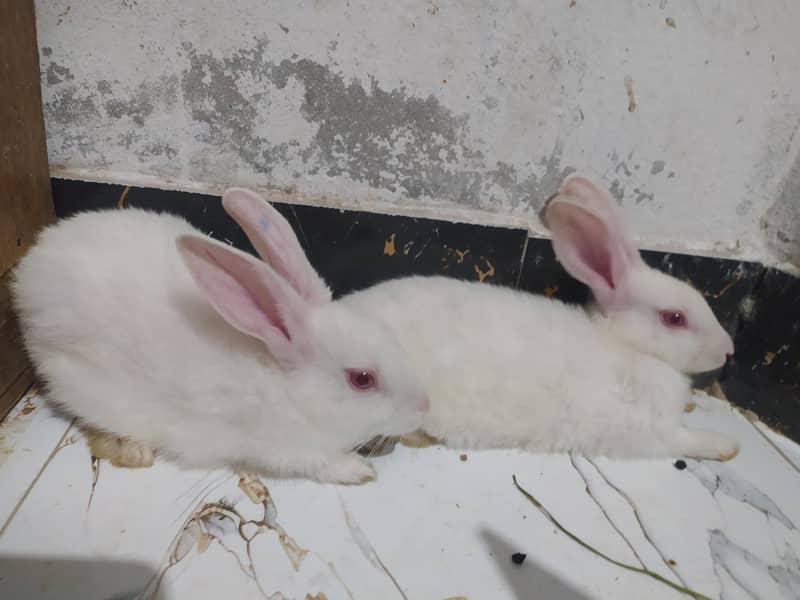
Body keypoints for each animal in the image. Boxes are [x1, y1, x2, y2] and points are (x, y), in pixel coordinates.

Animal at [11, 203, 430, 484]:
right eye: (362, 379)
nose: (423, 406)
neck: (287, 388)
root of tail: (27, 276)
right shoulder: (284, 447)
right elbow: (321, 462)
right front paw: (359, 470)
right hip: (83, 384)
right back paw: (134, 450)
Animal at [222, 176, 739, 461]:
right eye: (675, 317)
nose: (730, 350)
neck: (630, 351)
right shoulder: (651, 433)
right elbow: (687, 439)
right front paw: (724, 446)